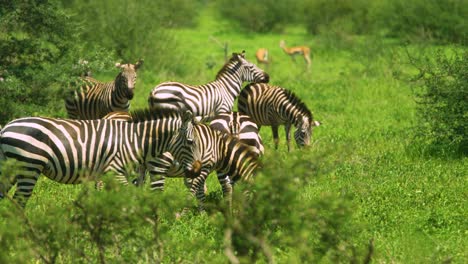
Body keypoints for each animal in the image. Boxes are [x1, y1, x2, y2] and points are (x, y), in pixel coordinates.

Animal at [0, 108, 197, 207]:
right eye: (191, 142)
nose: (196, 170)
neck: (134, 140)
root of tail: (6, 127)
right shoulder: (114, 172)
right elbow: (129, 195)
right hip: (29, 167)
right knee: (19, 202)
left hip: (10, 168)